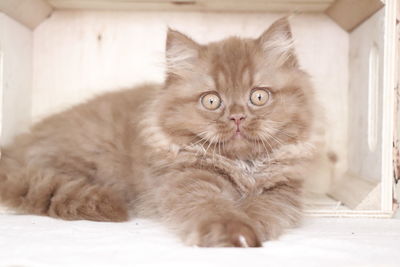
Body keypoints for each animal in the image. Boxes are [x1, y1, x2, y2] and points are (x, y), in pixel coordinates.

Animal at [0, 16, 322, 247]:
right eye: (211, 101)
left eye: (258, 96)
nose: (237, 117)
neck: (244, 165)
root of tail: (14, 149)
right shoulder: (188, 181)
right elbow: (214, 207)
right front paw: (232, 232)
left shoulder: (282, 191)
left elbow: (264, 209)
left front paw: (252, 224)